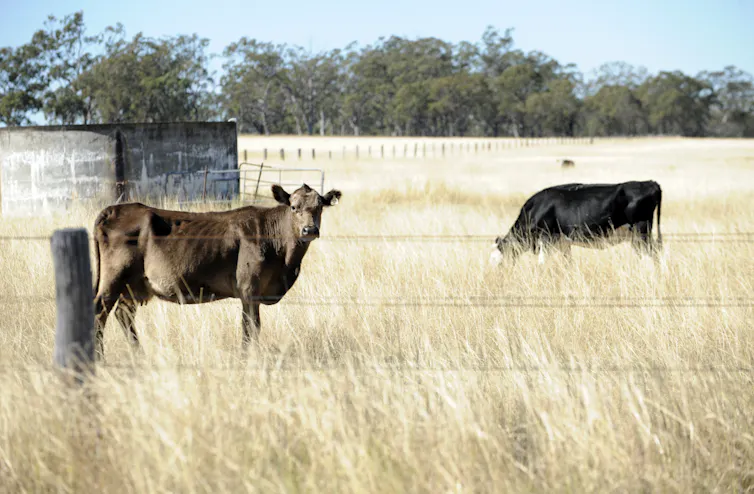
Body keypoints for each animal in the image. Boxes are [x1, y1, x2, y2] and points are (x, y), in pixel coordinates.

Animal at [92, 183, 342, 360]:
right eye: (294, 207)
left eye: (319, 207)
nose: (309, 229)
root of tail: (114, 209)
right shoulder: (249, 290)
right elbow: (250, 326)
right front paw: (247, 357)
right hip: (113, 280)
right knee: (99, 314)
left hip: (134, 286)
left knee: (123, 315)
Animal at [489, 180, 662, 265]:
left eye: (498, 262)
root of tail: (650, 182)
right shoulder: (563, 244)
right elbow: (568, 263)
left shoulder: (546, 239)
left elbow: (542, 263)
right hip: (636, 237)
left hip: (642, 231)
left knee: (653, 255)